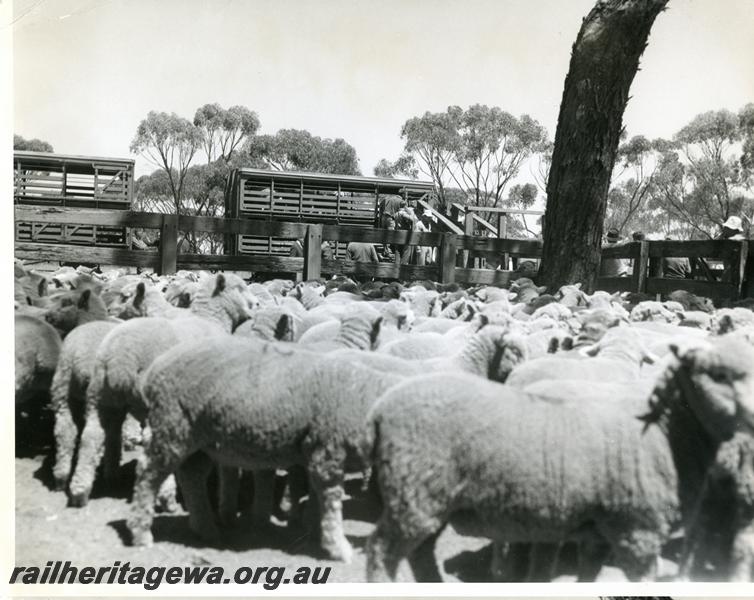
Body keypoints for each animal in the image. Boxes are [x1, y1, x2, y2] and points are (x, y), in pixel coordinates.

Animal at [67, 273, 255, 507]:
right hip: (153, 403)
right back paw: (166, 496)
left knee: (91, 435)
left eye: (125, 296)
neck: (210, 318)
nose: (257, 305)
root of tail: (122, 358)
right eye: (241, 288)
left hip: (100, 396)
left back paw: (82, 491)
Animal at [363, 337, 754, 582]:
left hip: (430, 498)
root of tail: (380, 410)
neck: (666, 432)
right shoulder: (637, 532)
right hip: (415, 495)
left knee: (420, 553)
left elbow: (586, 575)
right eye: (717, 374)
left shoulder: (598, 533)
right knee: (383, 551)